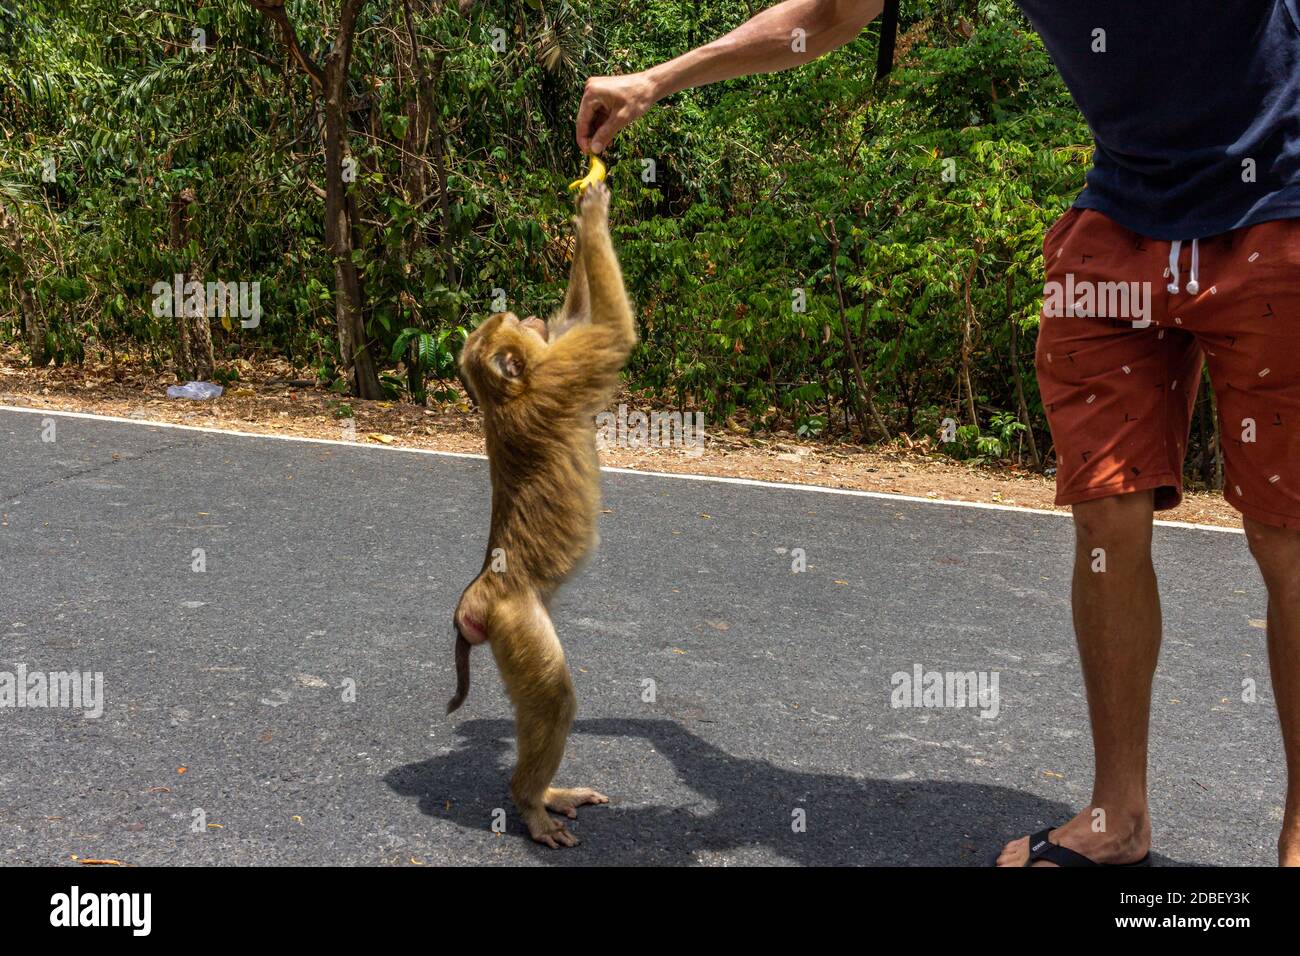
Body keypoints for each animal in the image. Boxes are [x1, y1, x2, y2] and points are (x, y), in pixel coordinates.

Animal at [447, 183, 634, 848]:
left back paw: (546, 794)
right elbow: (611, 331)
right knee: (553, 699)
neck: (507, 396)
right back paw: (528, 802)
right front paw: (593, 213)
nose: (523, 314)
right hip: (516, 620)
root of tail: (477, 594)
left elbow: (578, 318)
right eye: (506, 326)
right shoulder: (557, 375)